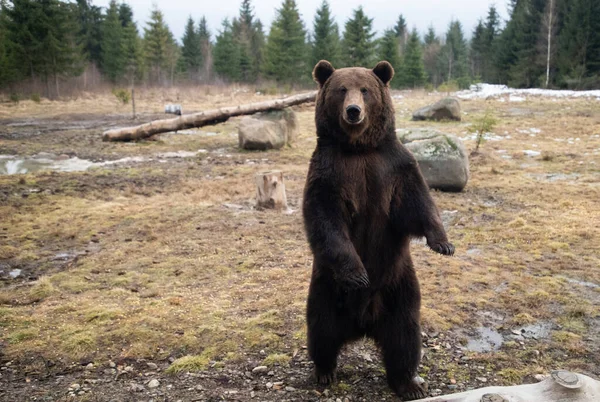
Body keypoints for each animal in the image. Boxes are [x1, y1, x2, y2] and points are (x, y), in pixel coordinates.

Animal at [302, 60, 452, 402]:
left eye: (366, 90)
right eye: (342, 89)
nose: (353, 111)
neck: (359, 149)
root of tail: (363, 323)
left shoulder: (394, 167)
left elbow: (417, 204)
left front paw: (443, 244)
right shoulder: (329, 173)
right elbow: (326, 219)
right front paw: (358, 274)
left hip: (399, 286)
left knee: (404, 335)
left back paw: (409, 383)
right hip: (327, 287)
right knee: (321, 328)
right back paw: (324, 371)